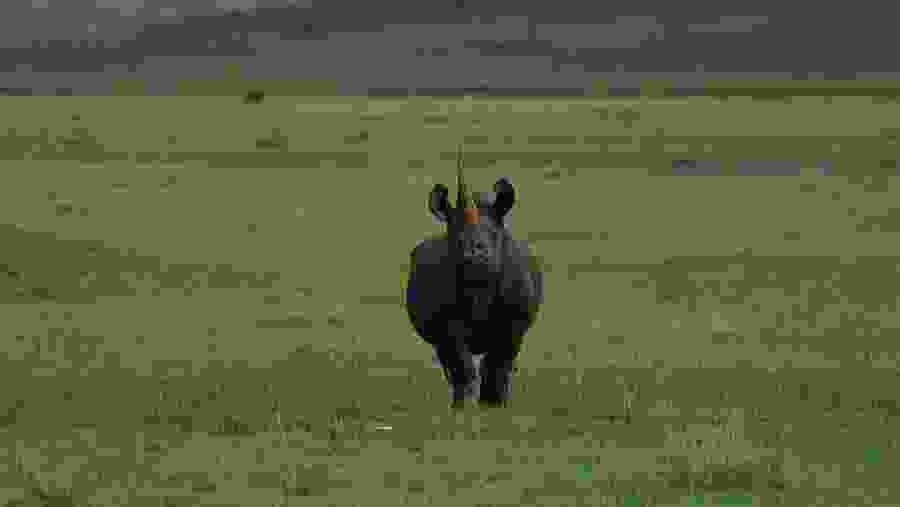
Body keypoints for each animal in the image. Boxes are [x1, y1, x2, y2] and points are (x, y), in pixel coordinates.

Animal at [406, 146, 543, 408]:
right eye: (455, 236)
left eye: (494, 234)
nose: (475, 253)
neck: (480, 285)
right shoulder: (447, 321)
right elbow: (462, 361)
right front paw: (465, 406)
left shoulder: (514, 320)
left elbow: (499, 363)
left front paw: (494, 405)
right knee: (448, 359)